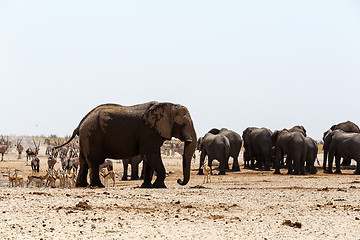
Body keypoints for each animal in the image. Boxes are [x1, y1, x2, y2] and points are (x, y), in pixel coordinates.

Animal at [55, 101, 198, 188]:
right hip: (92, 135)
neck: (168, 105)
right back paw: (98, 186)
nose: (179, 181)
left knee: (84, 161)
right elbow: (151, 155)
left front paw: (147, 187)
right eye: (183, 124)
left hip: (85, 137)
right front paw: (159, 186)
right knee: (94, 161)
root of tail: (80, 123)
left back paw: (81, 186)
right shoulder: (148, 132)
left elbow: (148, 158)